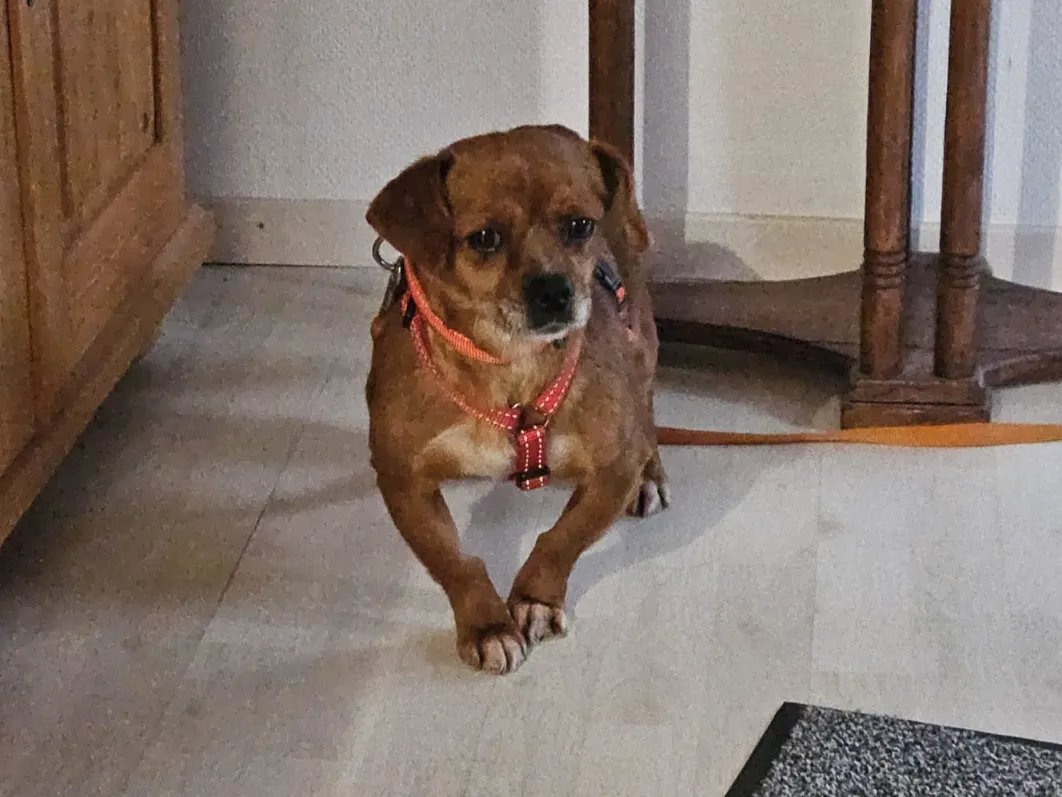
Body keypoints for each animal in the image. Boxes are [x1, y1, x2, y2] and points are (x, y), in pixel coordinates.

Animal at [365, 124, 669, 675]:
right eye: (485, 238)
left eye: (579, 226)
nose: (554, 292)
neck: (510, 365)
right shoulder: (403, 479)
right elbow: (455, 562)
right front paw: (487, 625)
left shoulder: (612, 470)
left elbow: (560, 541)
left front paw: (534, 600)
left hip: (643, 346)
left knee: (648, 413)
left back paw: (651, 474)